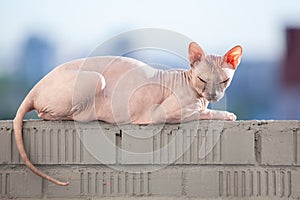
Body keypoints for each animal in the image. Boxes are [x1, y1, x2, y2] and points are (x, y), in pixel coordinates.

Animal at [14, 41, 244, 186]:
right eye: (202, 79)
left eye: (224, 81)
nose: (213, 95)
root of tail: (35, 87)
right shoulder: (165, 112)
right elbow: (203, 113)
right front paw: (228, 115)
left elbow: (204, 110)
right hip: (95, 80)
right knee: (57, 115)